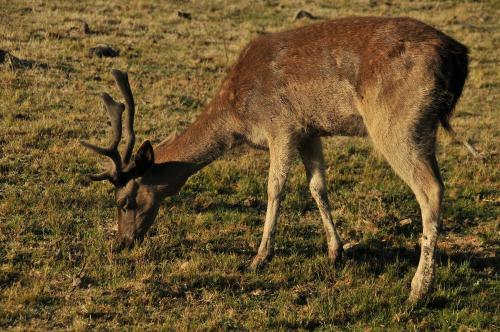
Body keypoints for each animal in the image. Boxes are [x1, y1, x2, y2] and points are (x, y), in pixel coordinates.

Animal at [81, 16, 468, 302]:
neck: (239, 114)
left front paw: (258, 258)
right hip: (422, 127)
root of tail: (457, 56)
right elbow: (318, 186)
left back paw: (419, 288)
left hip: (397, 122)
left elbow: (275, 188)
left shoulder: (281, 125)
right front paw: (335, 252)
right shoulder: (310, 130)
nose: (123, 242)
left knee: (431, 190)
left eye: (125, 201)